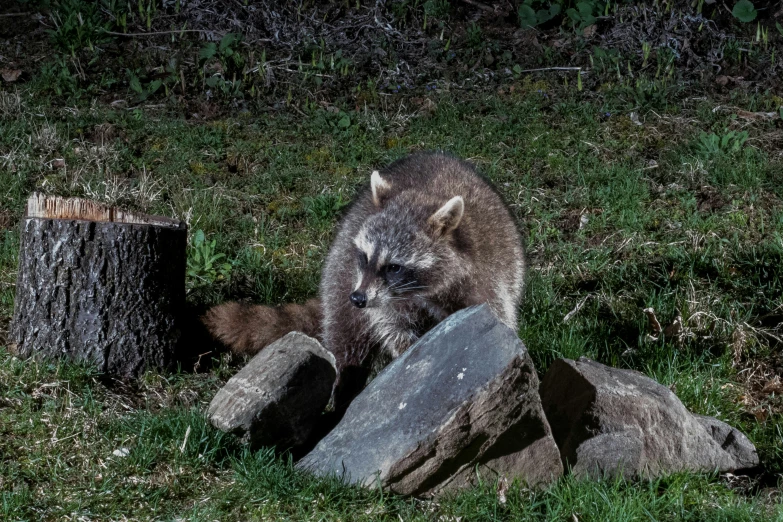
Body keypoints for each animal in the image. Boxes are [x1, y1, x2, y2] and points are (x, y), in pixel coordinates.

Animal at [208, 152, 528, 408]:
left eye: (394, 267)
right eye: (364, 257)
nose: (358, 298)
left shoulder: (484, 277)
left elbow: (495, 319)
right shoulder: (373, 290)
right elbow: (389, 326)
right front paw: (406, 353)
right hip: (339, 274)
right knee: (346, 342)